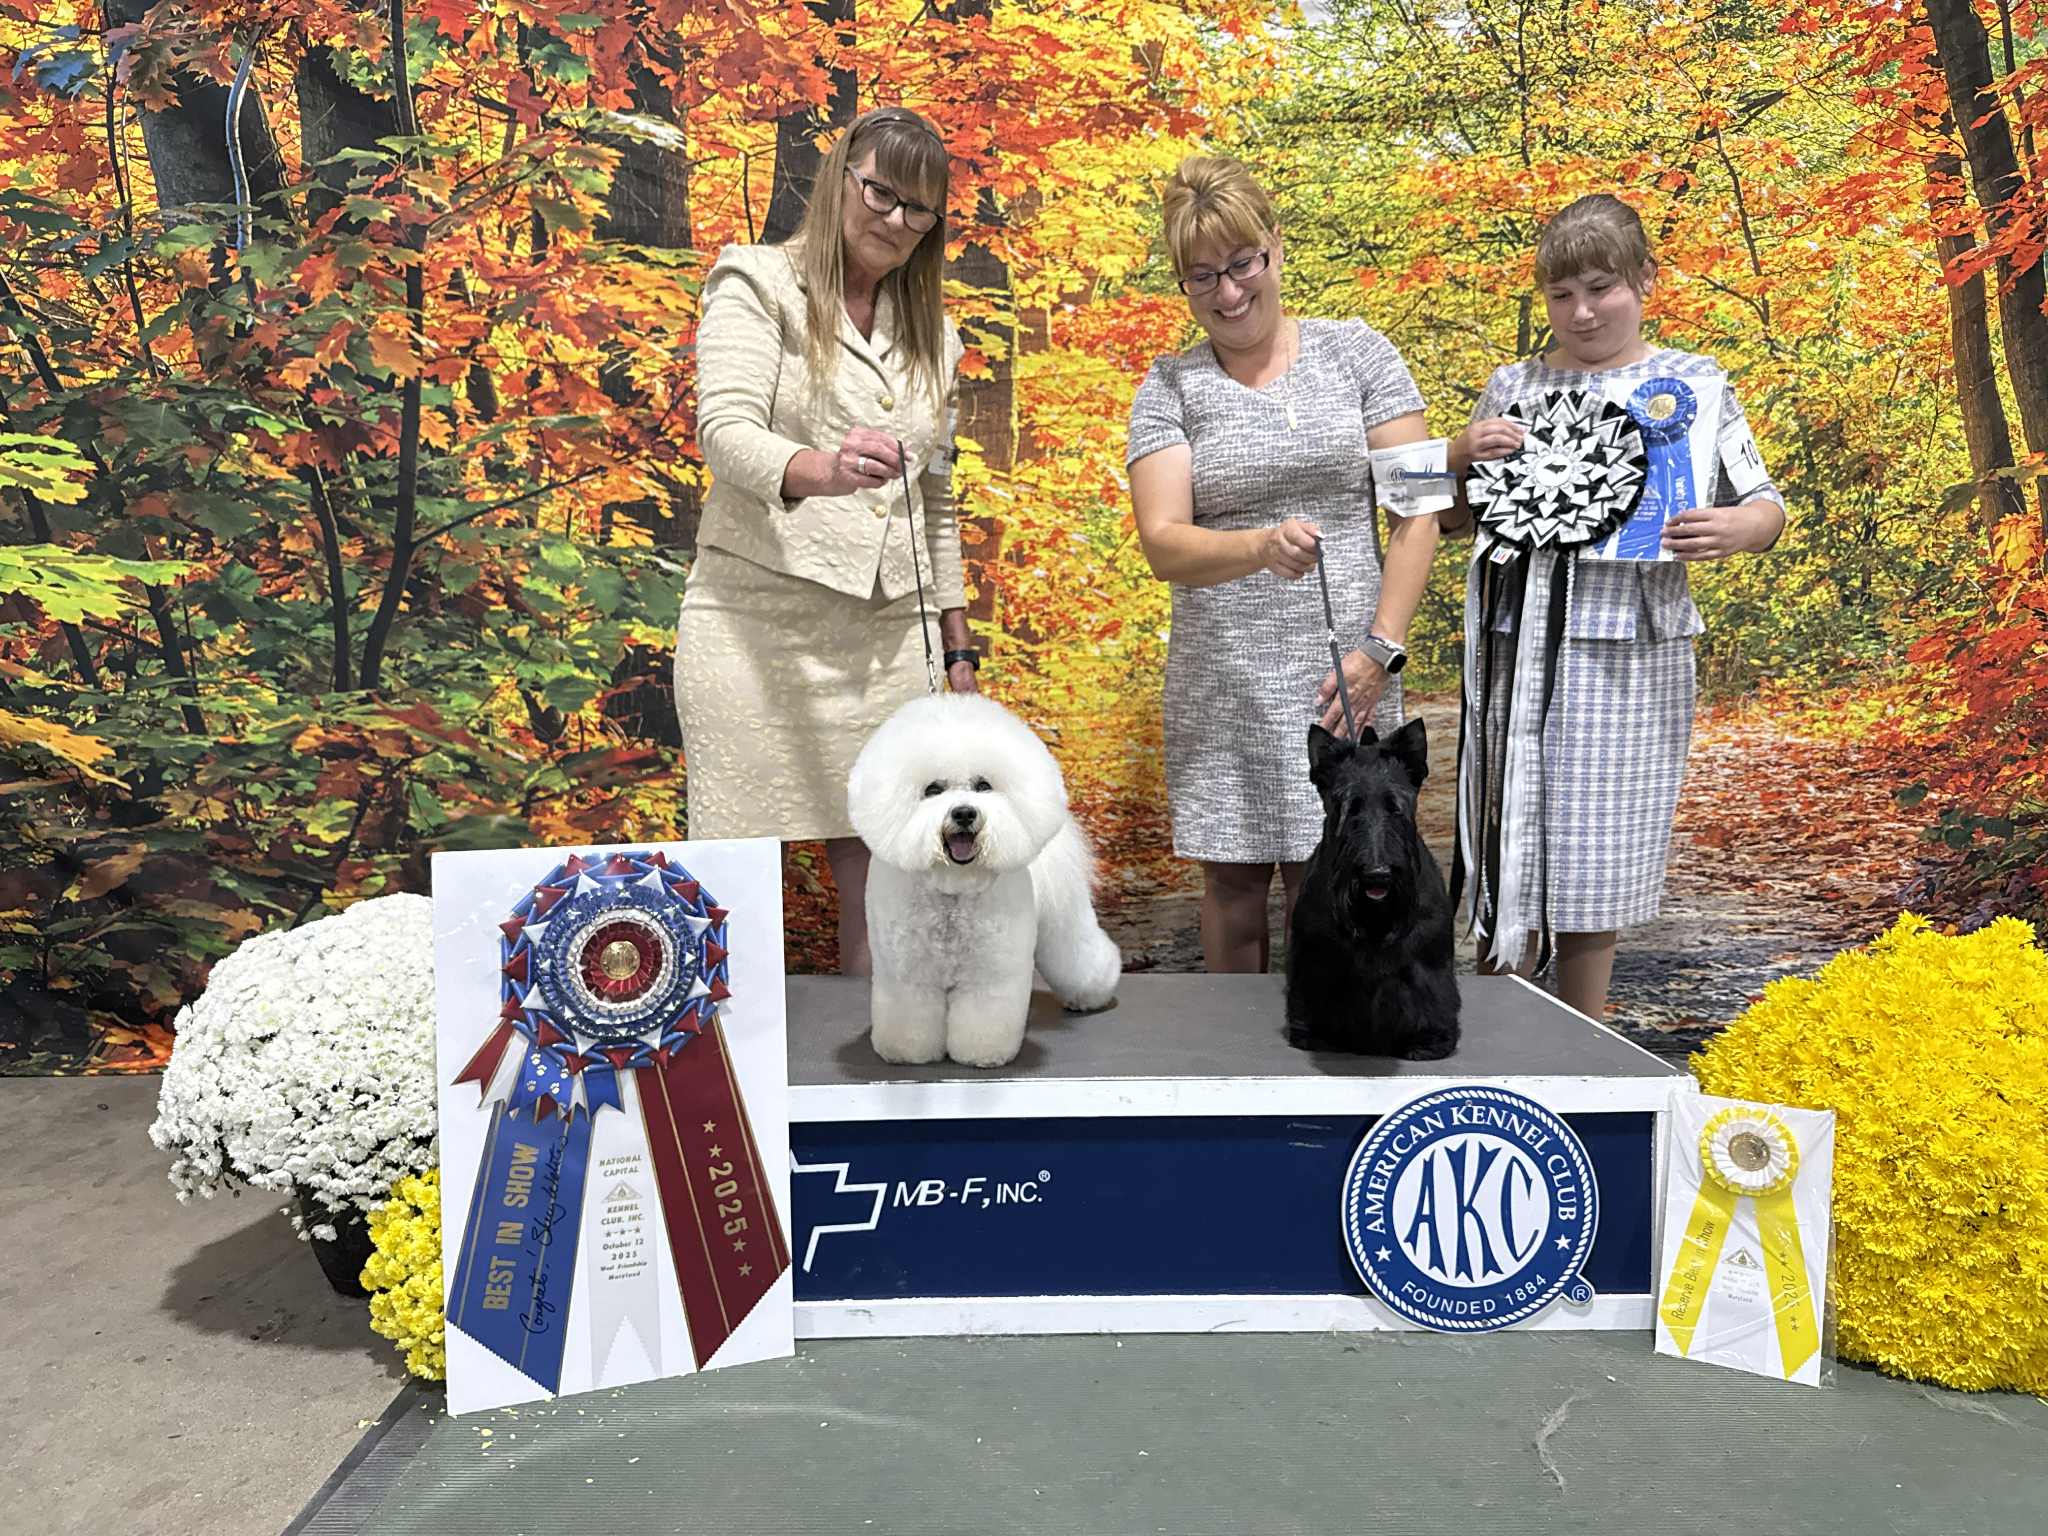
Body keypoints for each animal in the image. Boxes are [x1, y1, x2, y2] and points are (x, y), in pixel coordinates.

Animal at [847, 692, 1122, 1068]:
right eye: (933, 789)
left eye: (983, 785)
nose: (964, 813)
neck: (953, 889)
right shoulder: (907, 972)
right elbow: (911, 1014)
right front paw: (907, 1052)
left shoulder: (991, 972)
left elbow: (985, 1015)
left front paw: (983, 1054)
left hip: (1064, 921)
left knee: (1082, 953)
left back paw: (1091, 995)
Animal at [1285, 718, 1460, 1060]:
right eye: (1347, 808)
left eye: (1396, 808)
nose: (1377, 875)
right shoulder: (1316, 960)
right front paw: (1312, 1034)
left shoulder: (1427, 962)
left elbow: (1432, 998)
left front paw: (1430, 1040)